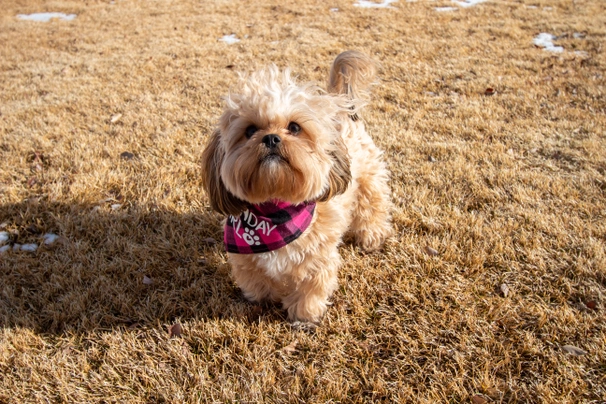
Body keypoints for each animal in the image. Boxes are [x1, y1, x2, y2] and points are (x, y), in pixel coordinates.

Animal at [202, 50, 394, 324]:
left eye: (294, 127)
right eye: (250, 130)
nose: (271, 137)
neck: (275, 208)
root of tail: (339, 107)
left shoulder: (316, 260)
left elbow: (309, 290)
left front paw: (304, 317)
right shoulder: (246, 260)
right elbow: (257, 281)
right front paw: (262, 301)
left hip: (369, 180)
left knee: (372, 207)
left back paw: (371, 235)